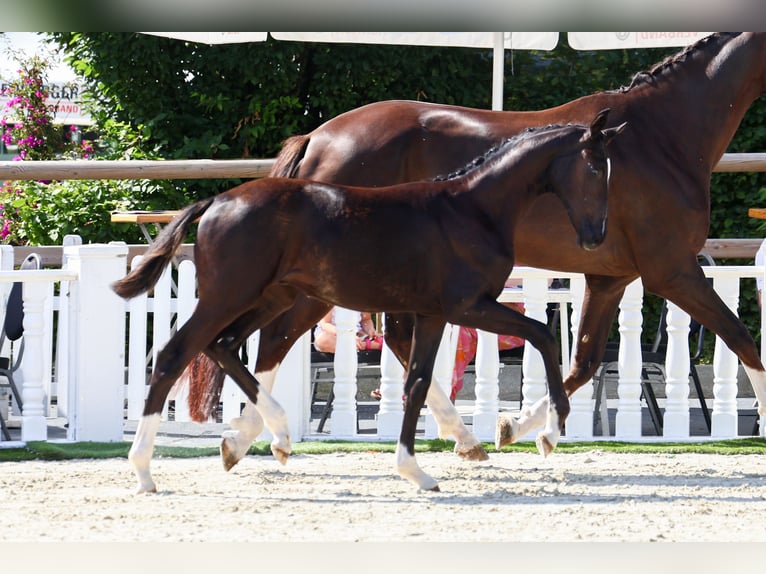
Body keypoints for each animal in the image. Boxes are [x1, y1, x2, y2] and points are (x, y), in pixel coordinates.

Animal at [202, 32, 766, 472]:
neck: (662, 136)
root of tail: (318, 137)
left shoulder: (611, 277)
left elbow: (582, 361)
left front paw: (522, 428)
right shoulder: (671, 271)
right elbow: (743, 340)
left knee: (367, 342)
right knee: (276, 339)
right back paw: (256, 436)